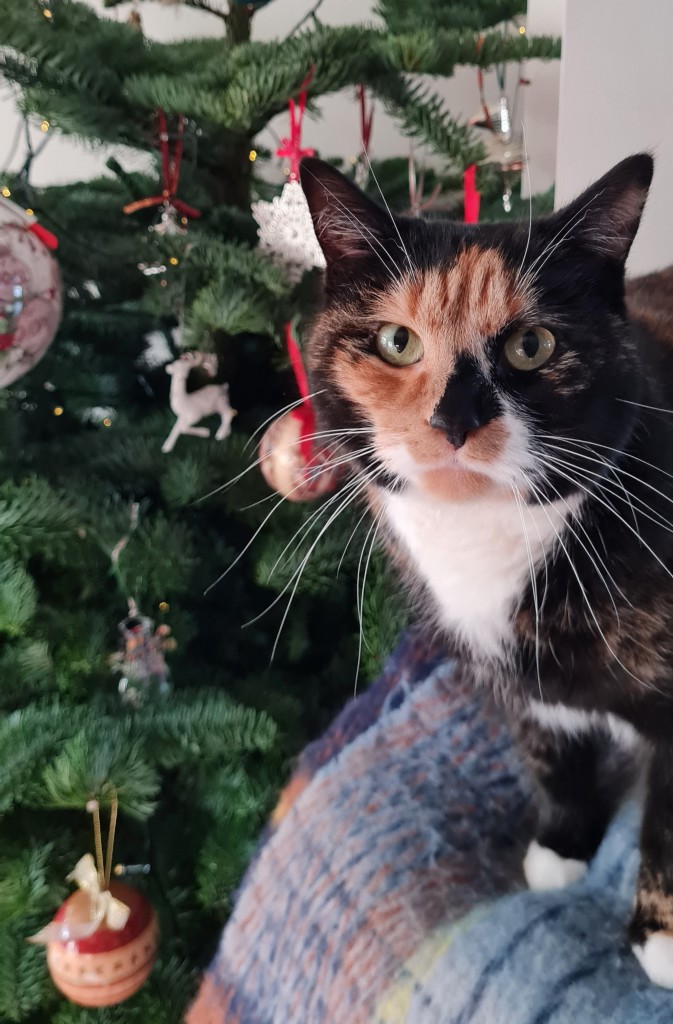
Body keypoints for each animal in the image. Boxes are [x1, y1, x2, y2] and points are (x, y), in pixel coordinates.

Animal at [297, 153, 673, 991]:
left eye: (531, 345)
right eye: (396, 341)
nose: (453, 419)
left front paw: (662, 936)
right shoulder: (516, 679)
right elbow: (548, 753)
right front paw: (563, 847)